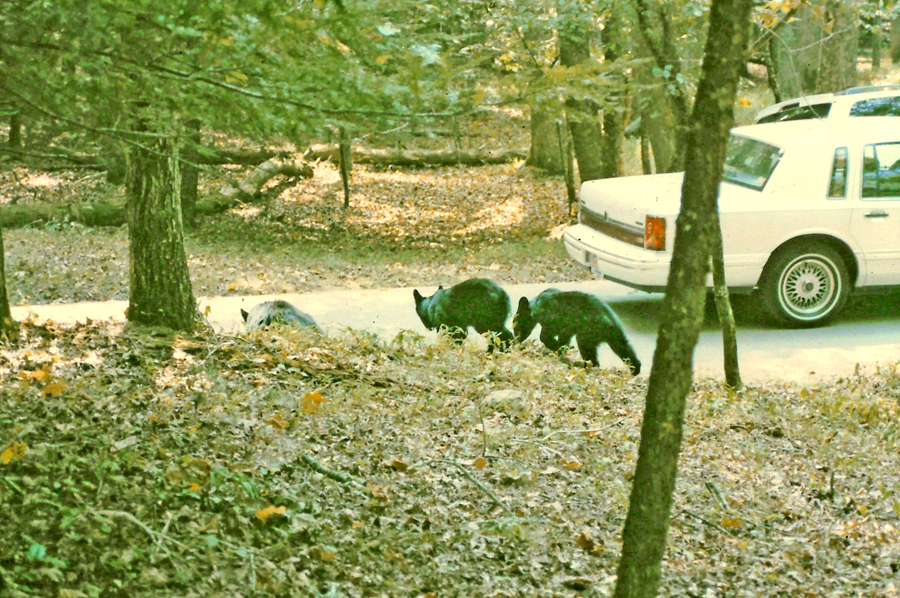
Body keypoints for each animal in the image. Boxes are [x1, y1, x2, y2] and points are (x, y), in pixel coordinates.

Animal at [512, 290, 640, 376]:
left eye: (515, 325)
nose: (515, 338)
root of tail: (609, 323)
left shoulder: (554, 322)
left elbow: (545, 335)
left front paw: (556, 346)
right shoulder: (567, 327)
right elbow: (563, 338)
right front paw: (561, 348)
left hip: (587, 334)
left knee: (590, 355)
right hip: (616, 337)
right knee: (625, 349)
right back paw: (635, 369)